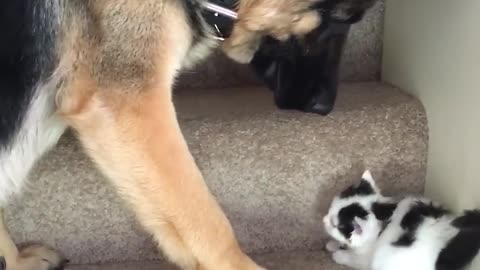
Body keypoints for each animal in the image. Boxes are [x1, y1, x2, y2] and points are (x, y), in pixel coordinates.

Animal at [324, 171, 480, 270]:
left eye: (335, 225)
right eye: (330, 210)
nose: (324, 220)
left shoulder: (368, 259)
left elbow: (355, 259)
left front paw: (339, 255)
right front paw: (333, 244)